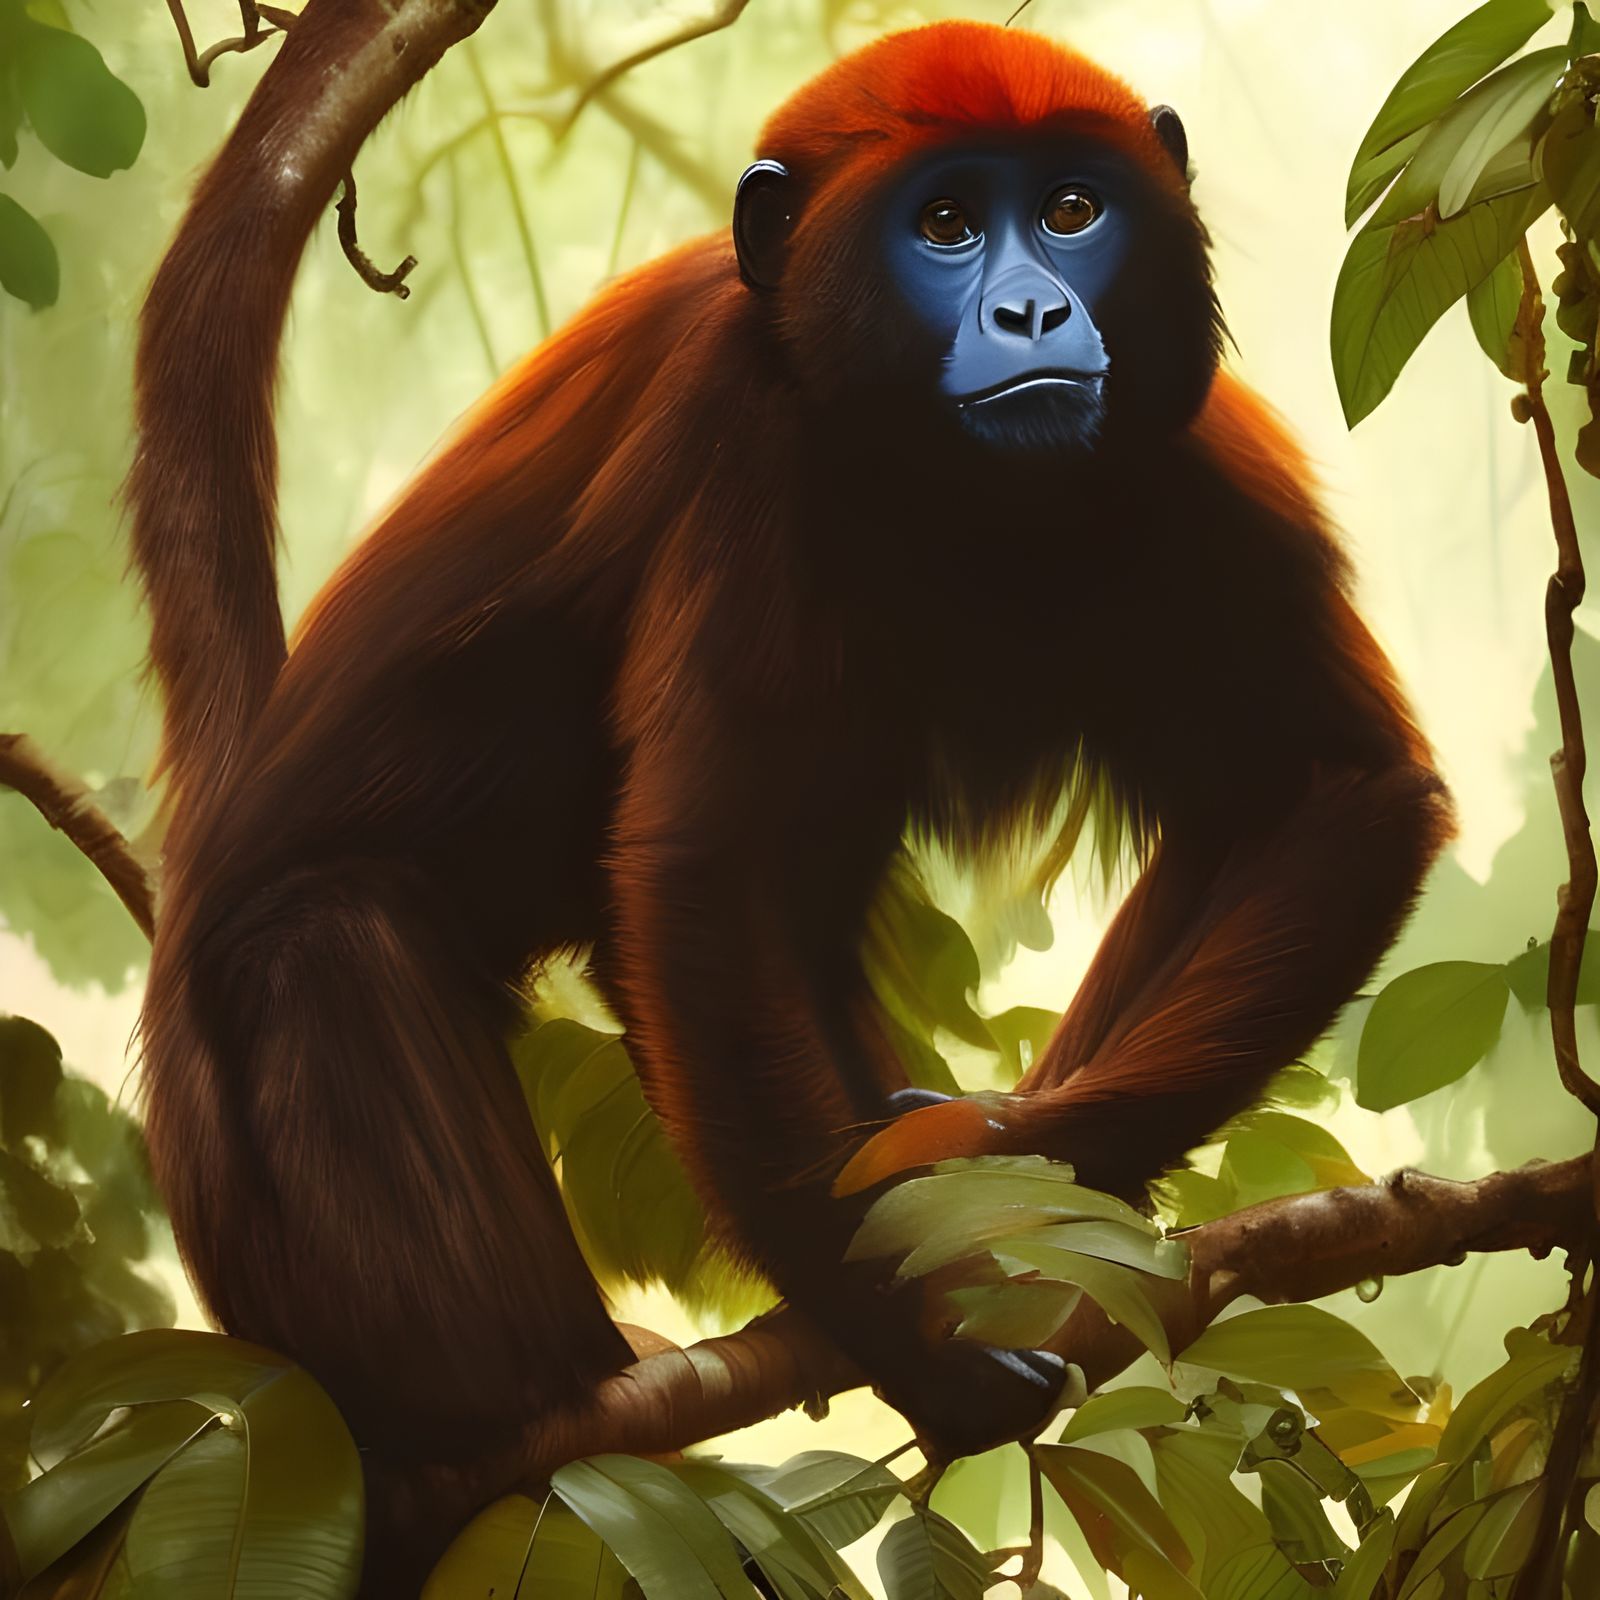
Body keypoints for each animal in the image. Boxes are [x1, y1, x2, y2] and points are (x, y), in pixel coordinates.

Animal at [127, 18, 1451, 1478]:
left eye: (1070, 210)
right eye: (944, 224)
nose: (1034, 313)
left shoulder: (1196, 446)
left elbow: (1339, 790)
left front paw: (1005, 1158)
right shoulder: (740, 434)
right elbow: (702, 877)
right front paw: (928, 1348)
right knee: (326, 935)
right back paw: (516, 1398)